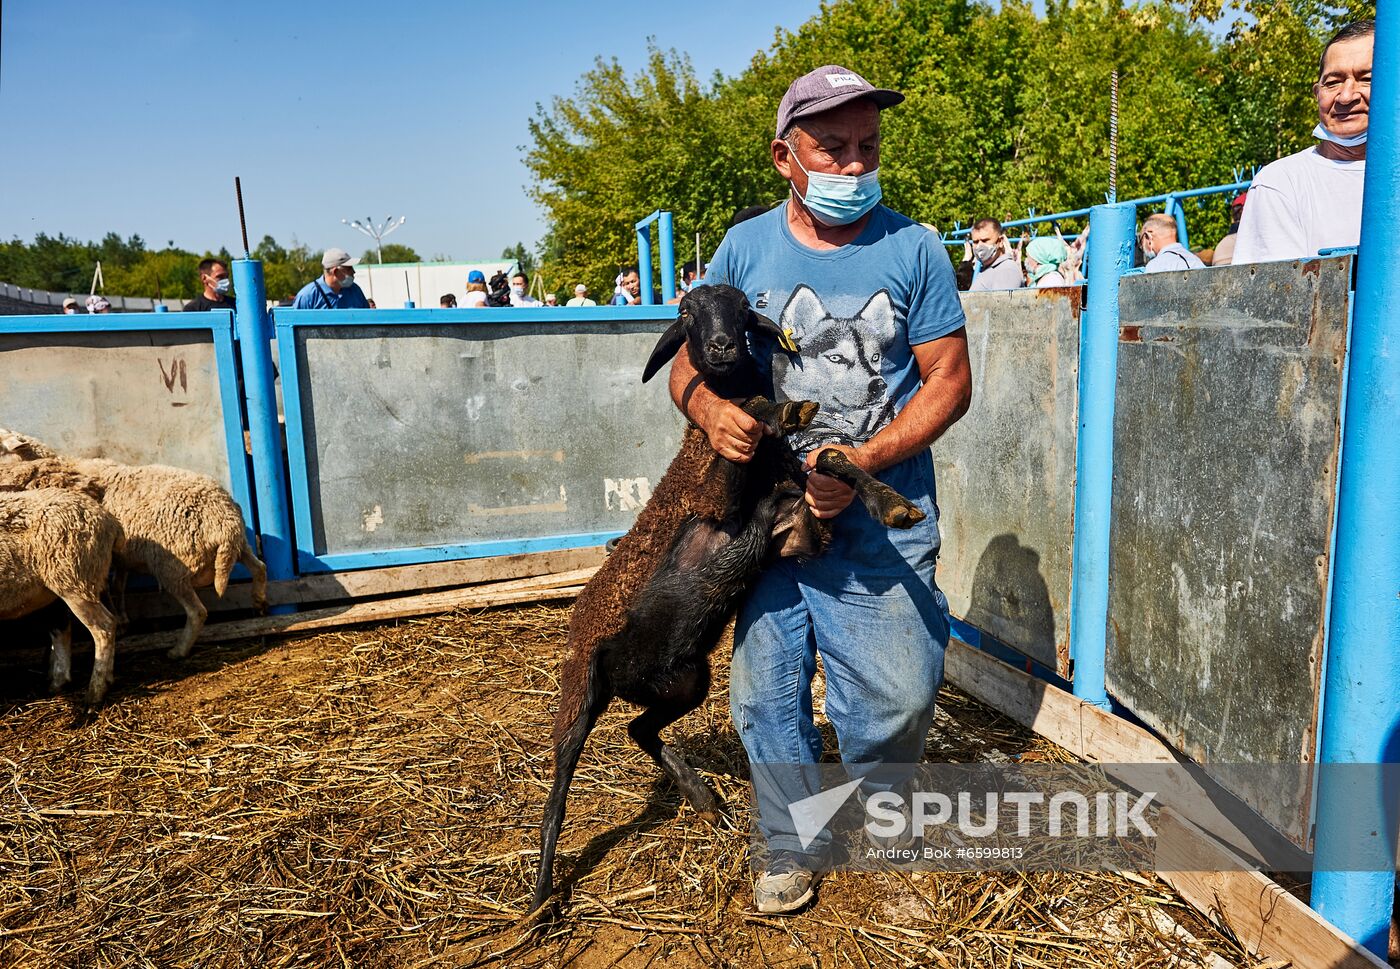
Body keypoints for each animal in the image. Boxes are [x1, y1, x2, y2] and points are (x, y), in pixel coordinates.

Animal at [0, 431, 267, 658]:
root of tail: (226, 523)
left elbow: (107, 589)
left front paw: (119, 621)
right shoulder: (120, 558)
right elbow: (118, 586)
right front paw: (123, 620)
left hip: (171, 568)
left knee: (197, 612)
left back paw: (178, 651)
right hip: (241, 546)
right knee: (259, 567)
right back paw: (259, 600)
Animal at [0, 487, 123, 700]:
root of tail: (111, 522)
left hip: (76, 581)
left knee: (104, 627)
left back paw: (95, 692)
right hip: (74, 583)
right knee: (64, 628)